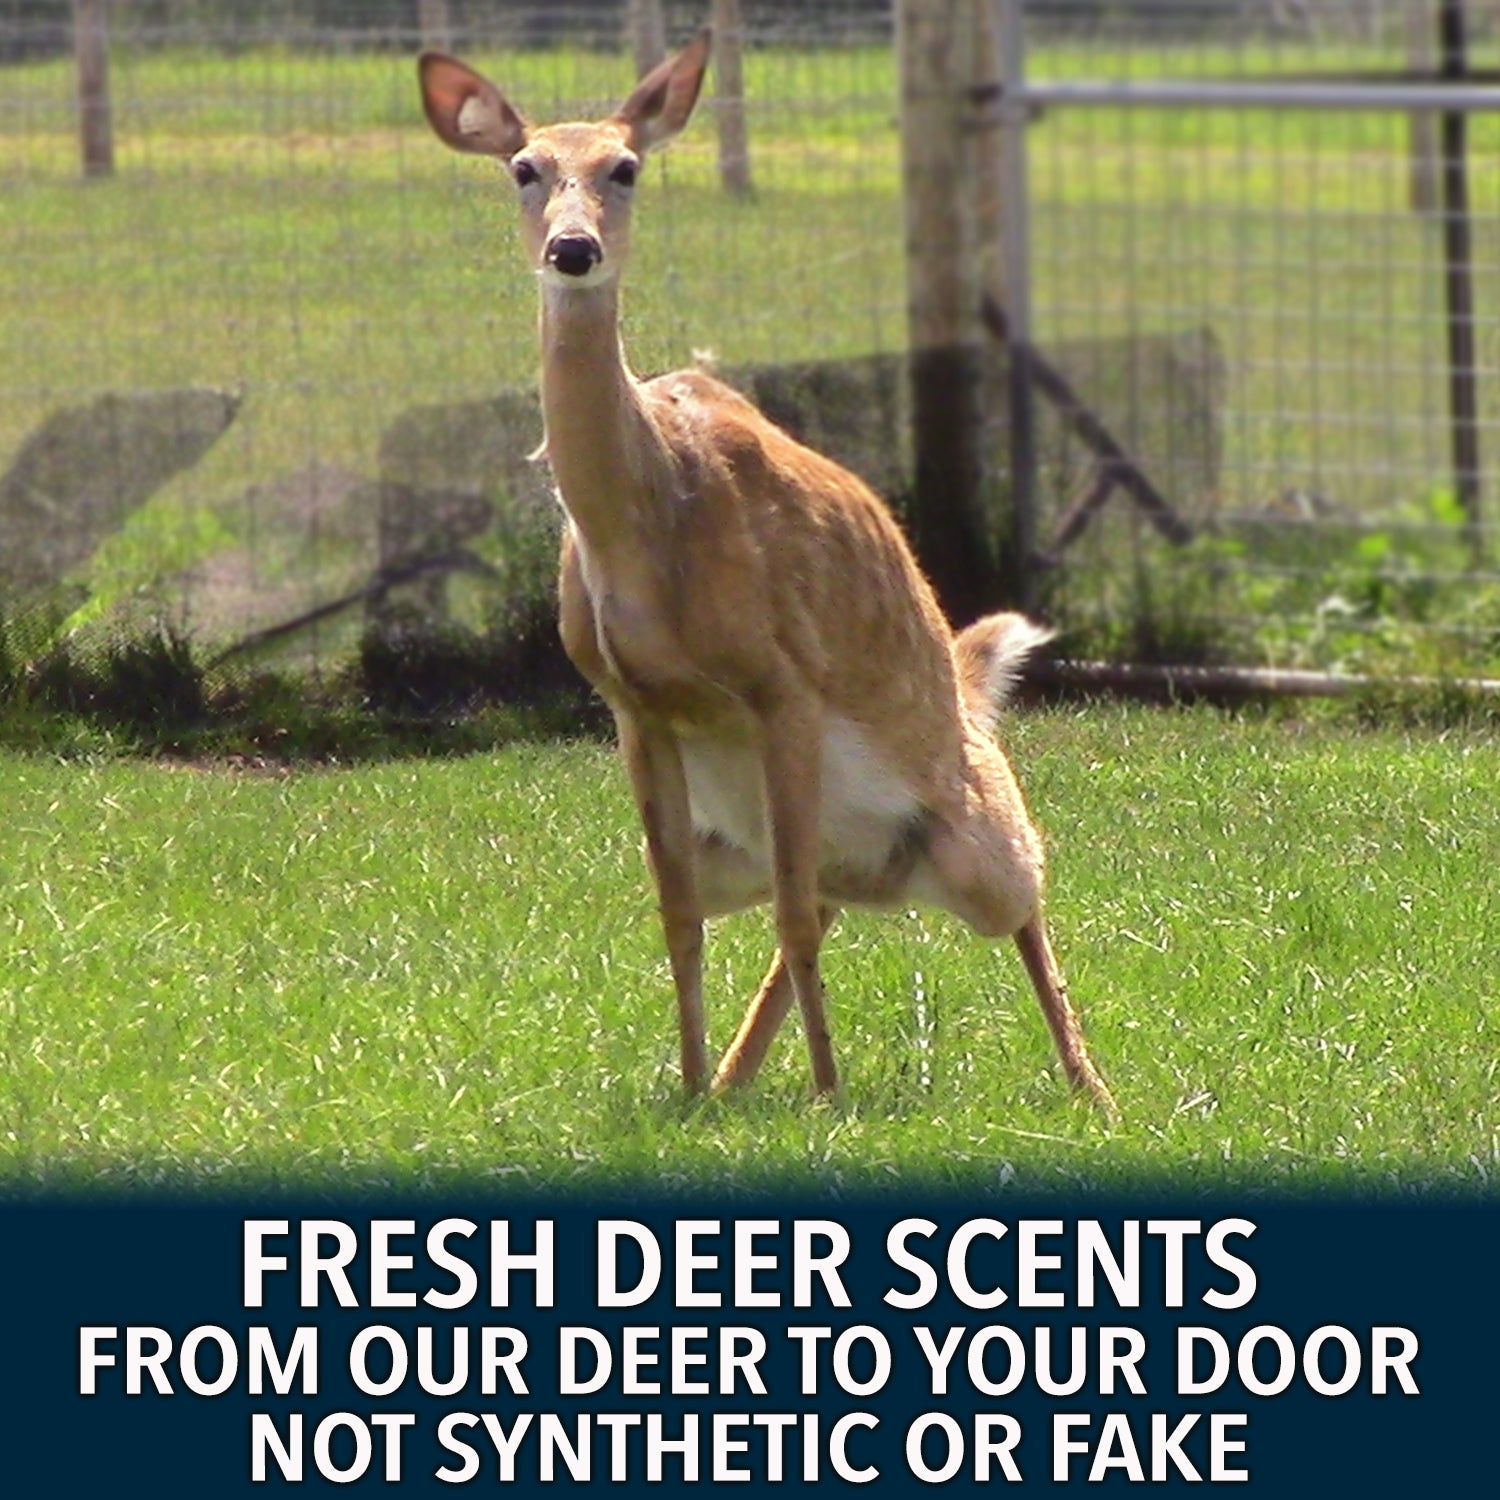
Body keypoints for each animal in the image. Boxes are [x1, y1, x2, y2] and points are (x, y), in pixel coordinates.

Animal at [417, 28, 1115, 1115]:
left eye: (626, 166)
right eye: (524, 168)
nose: (573, 250)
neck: (647, 528)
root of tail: (966, 692)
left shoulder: (783, 680)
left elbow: (787, 911)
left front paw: (827, 1098)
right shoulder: (632, 706)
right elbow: (677, 915)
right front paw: (691, 1088)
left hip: (970, 832)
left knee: (1019, 891)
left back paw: (1092, 1088)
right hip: (759, 845)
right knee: (817, 899)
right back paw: (737, 1077)